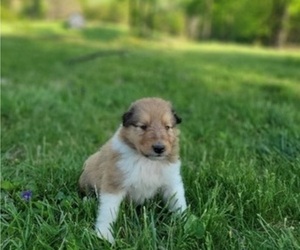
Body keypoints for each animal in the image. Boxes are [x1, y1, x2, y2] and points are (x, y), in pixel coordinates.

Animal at [78, 96, 186, 243]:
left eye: (167, 127)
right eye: (143, 126)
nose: (159, 148)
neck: (148, 161)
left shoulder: (172, 181)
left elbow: (178, 202)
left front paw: (187, 222)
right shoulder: (114, 183)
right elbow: (107, 211)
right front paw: (104, 236)